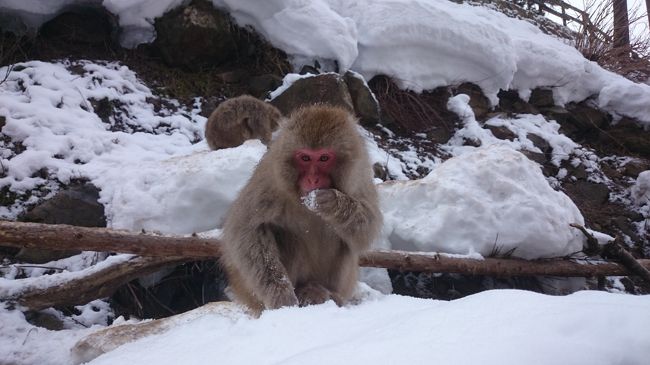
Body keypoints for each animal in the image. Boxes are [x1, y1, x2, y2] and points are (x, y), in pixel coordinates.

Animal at [219, 104, 380, 312]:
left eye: (324, 158)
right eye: (305, 158)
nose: (312, 179)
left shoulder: (359, 174)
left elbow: (367, 227)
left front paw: (334, 204)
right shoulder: (271, 177)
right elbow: (247, 228)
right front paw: (281, 295)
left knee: (345, 240)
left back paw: (326, 294)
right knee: (284, 235)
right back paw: (304, 291)